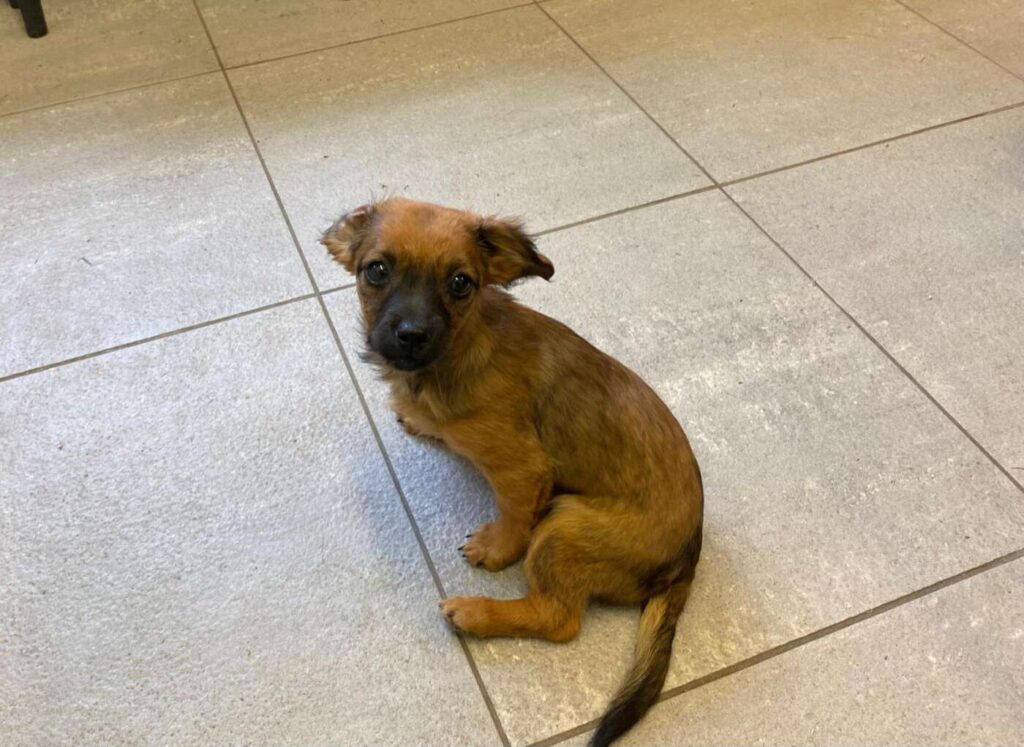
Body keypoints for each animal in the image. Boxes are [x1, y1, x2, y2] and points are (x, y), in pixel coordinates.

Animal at [322, 198, 703, 746]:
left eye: (461, 282)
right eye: (376, 270)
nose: (412, 336)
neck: (457, 353)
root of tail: (688, 558)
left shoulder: (522, 468)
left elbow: (514, 516)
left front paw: (496, 548)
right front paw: (420, 420)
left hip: (564, 527)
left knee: (558, 620)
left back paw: (476, 613)